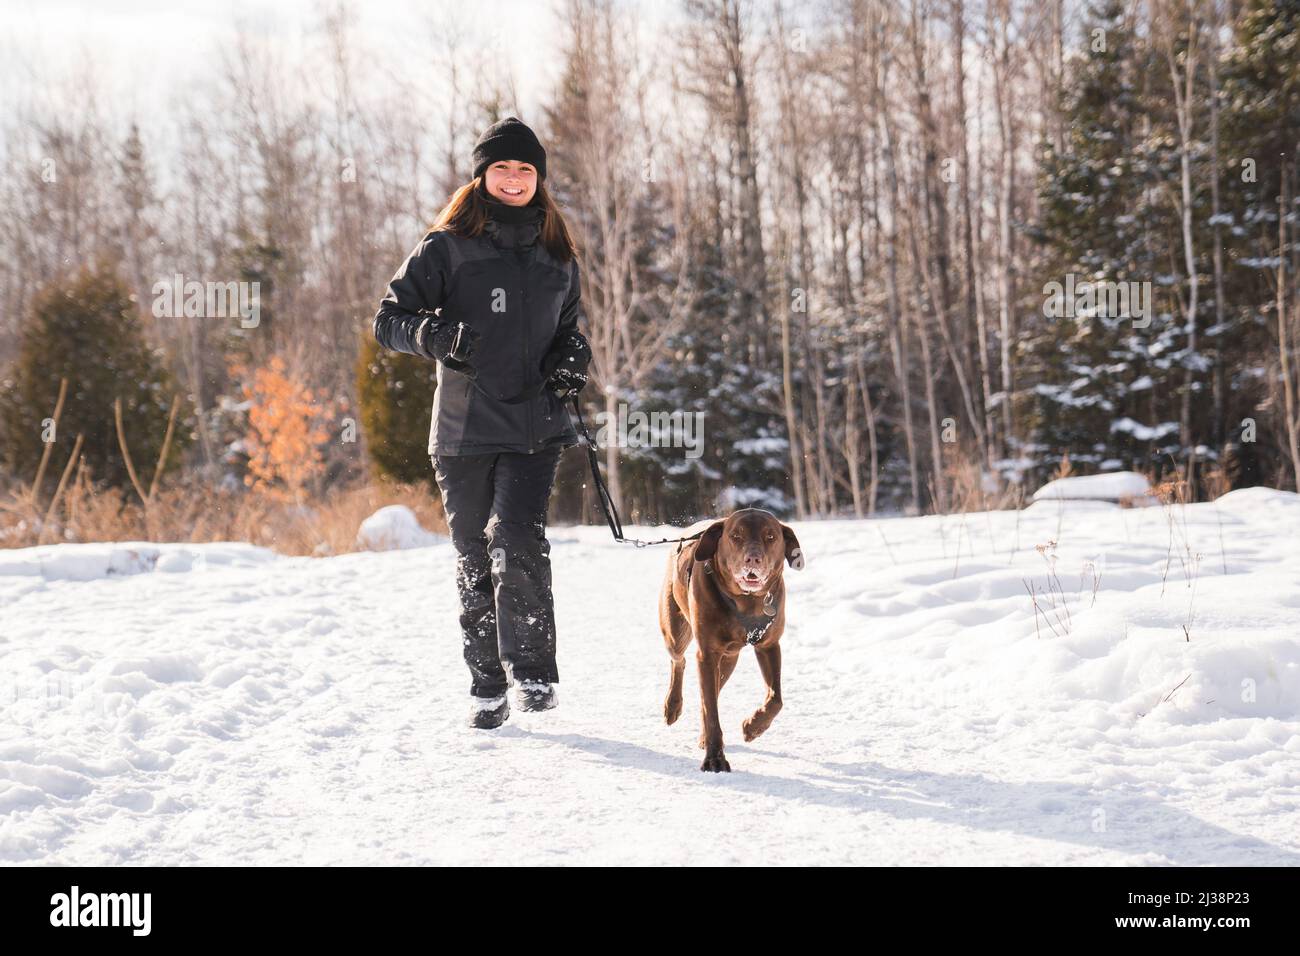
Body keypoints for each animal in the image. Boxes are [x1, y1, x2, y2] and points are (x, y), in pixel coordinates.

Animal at [660, 509, 800, 770]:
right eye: (736, 536)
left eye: (771, 536)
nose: (753, 559)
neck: (747, 602)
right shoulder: (707, 654)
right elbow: (711, 712)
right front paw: (715, 759)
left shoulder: (769, 646)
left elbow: (776, 699)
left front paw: (753, 726)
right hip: (675, 631)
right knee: (679, 661)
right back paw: (673, 705)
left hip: (729, 659)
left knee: (713, 690)